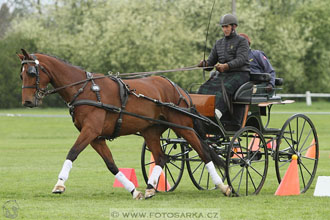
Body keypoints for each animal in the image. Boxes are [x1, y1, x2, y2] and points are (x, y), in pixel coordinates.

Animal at [17, 49, 229, 199]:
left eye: (32, 72)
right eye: (21, 75)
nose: (27, 102)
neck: (85, 89)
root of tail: (178, 88)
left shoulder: (90, 130)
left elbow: (72, 152)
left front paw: (59, 184)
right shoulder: (96, 137)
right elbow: (111, 164)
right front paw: (134, 191)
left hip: (182, 125)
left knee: (203, 152)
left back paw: (223, 186)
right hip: (150, 131)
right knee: (161, 158)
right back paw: (151, 189)